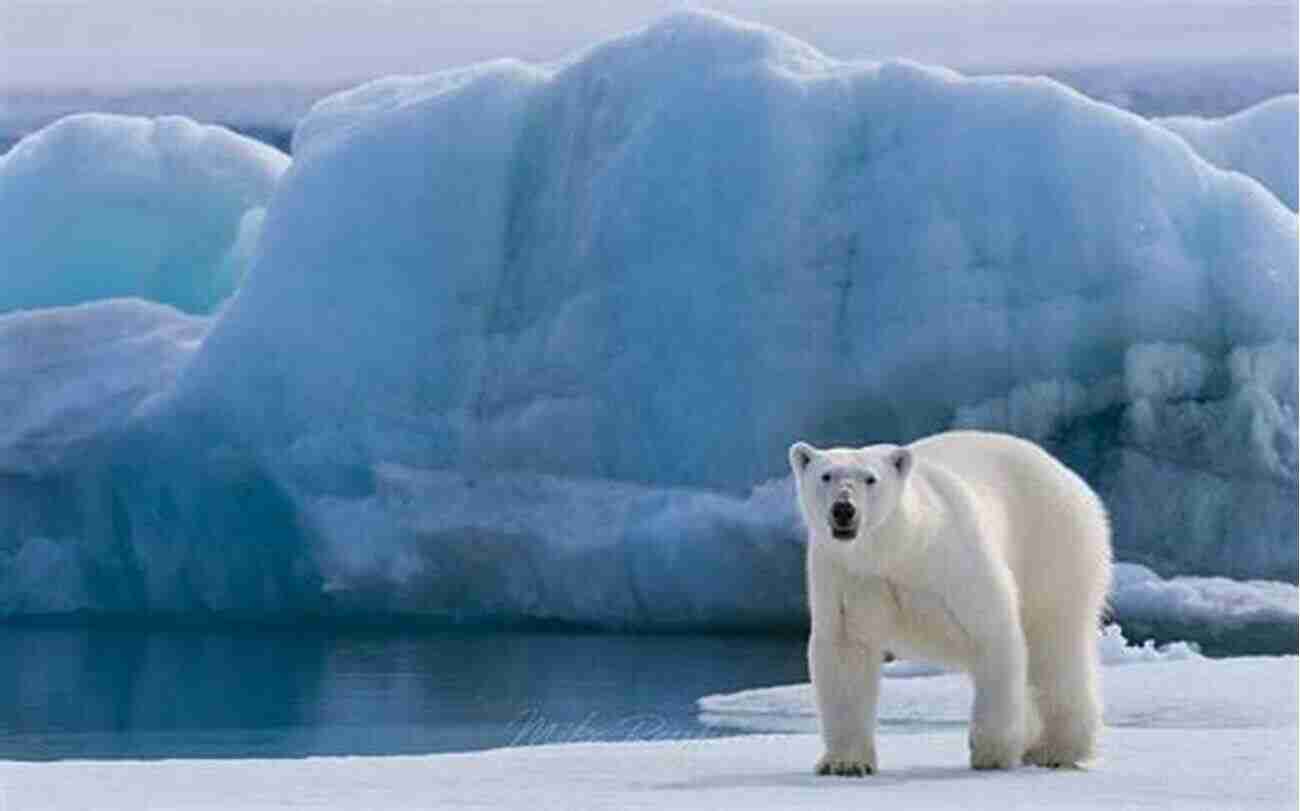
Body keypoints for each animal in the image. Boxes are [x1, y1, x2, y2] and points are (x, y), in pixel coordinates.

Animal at [785, 431, 1112, 774]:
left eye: (870, 478)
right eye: (826, 475)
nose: (843, 509)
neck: (899, 548)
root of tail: (1070, 478)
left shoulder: (953, 560)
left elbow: (992, 630)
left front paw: (992, 752)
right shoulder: (847, 575)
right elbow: (846, 650)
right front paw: (846, 763)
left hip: (1053, 547)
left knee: (1055, 645)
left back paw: (1056, 748)